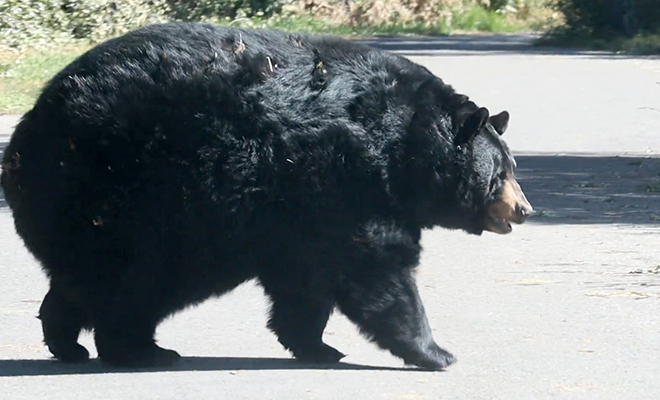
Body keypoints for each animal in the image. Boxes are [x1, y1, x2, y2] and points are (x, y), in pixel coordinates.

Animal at [0, 22, 532, 368]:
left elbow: (303, 281)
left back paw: (72, 343)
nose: (525, 209)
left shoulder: (303, 211)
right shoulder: (349, 179)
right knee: (131, 283)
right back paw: (137, 351)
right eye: (501, 171)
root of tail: (24, 138)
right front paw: (437, 351)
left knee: (87, 282)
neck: (407, 145)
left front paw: (319, 346)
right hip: (129, 198)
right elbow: (376, 270)